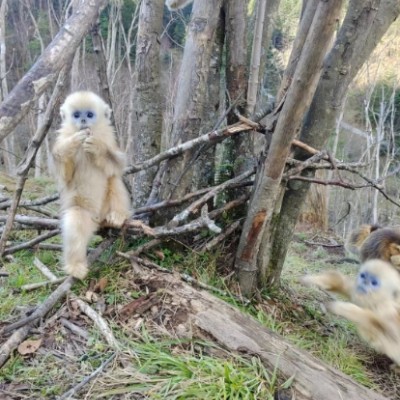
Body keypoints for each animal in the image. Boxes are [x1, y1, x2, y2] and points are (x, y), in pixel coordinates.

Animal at [52, 91, 130, 280]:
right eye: (76, 115)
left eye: (89, 114)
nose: (82, 121)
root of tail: (99, 219)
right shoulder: (61, 140)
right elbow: (64, 177)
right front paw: (72, 143)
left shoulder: (109, 139)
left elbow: (118, 165)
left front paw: (96, 147)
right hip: (84, 211)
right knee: (76, 223)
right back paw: (75, 266)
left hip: (105, 208)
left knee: (114, 179)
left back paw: (118, 215)